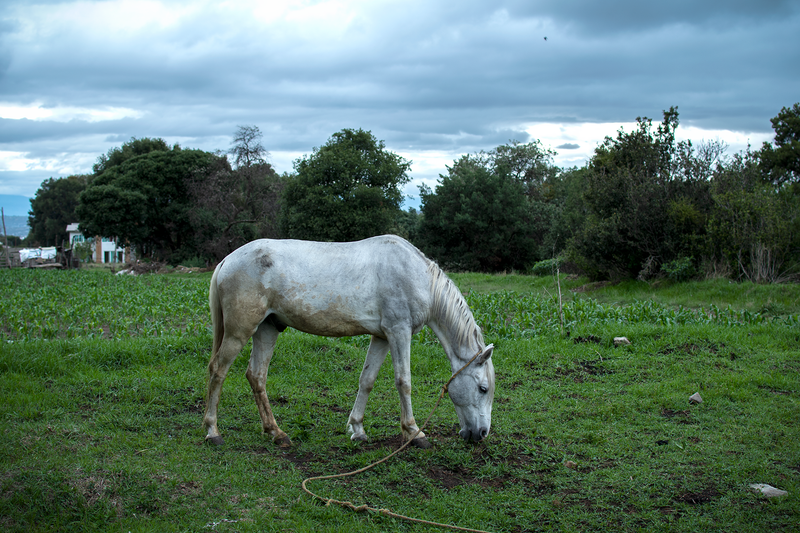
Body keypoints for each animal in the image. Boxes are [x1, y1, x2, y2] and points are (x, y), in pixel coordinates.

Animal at [202, 234, 495, 448]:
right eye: (482, 389)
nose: (481, 433)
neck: (418, 277)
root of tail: (227, 260)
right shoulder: (399, 332)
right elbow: (404, 382)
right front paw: (414, 433)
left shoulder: (382, 337)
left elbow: (367, 381)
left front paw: (357, 429)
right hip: (240, 331)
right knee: (218, 370)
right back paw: (213, 431)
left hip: (267, 329)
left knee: (256, 376)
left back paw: (276, 432)